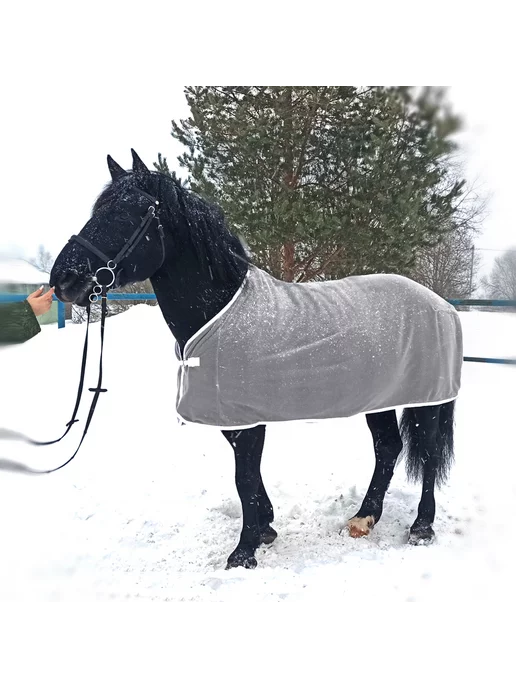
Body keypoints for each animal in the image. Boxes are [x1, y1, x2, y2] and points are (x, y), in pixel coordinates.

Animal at [50, 149, 462, 569]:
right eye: (98, 210)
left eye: (130, 213)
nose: (63, 279)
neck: (220, 310)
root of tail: (440, 304)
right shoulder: (236, 418)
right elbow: (248, 474)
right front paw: (265, 527)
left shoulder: (247, 420)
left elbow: (244, 477)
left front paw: (243, 552)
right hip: (380, 399)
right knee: (388, 447)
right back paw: (364, 517)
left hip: (427, 401)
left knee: (428, 453)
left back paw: (421, 528)